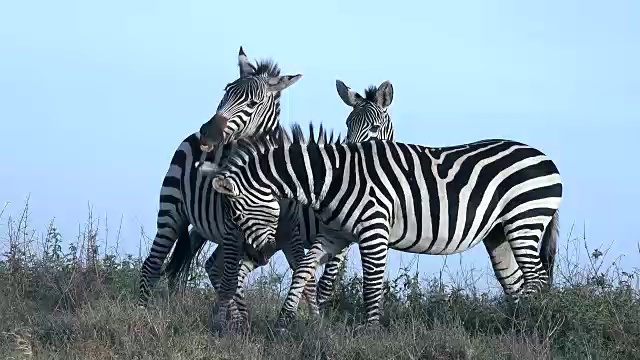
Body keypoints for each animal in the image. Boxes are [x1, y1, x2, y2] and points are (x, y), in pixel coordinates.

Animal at [136, 45, 304, 320]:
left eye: (253, 103)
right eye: (226, 91)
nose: (208, 132)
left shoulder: (288, 233)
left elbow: (302, 273)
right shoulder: (234, 231)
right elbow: (230, 282)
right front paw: (232, 325)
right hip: (171, 210)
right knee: (153, 264)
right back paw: (142, 313)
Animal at [199, 122, 560, 330]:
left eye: (239, 213)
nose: (257, 252)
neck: (329, 180)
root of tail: (547, 159)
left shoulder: (373, 229)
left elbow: (371, 284)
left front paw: (369, 331)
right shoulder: (334, 234)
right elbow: (303, 270)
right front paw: (285, 321)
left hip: (525, 219)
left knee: (537, 279)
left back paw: (530, 327)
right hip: (499, 232)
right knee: (517, 282)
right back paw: (511, 329)